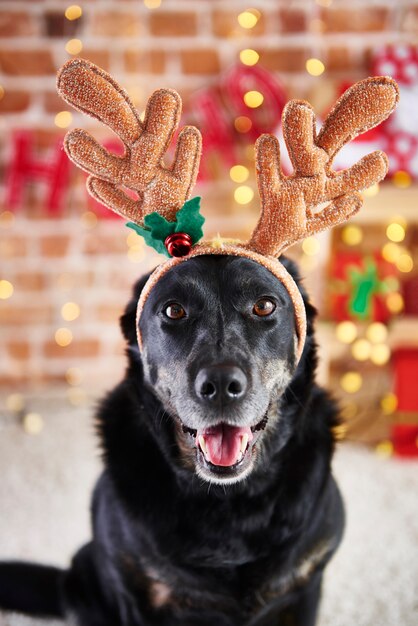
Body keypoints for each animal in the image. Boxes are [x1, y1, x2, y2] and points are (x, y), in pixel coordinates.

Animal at [0, 255, 342, 624]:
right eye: (173, 310)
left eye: (264, 306)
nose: (221, 385)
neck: (229, 501)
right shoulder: (141, 596)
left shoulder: (305, 587)